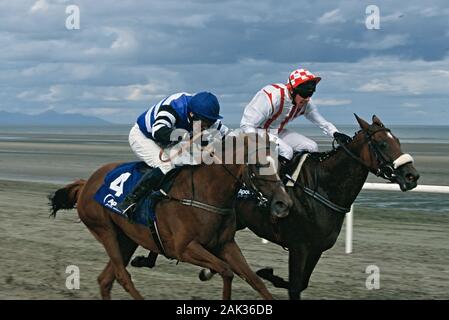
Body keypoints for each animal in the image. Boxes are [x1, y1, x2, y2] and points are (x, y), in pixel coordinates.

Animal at [49, 133, 292, 300]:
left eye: (279, 163)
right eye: (259, 164)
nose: (284, 203)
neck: (204, 194)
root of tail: (86, 183)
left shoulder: (226, 244)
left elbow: (255, 280)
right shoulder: (184, 248)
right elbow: (225, 270)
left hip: (126, 238)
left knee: (105, 279)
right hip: (105, 231)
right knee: (121, 276)